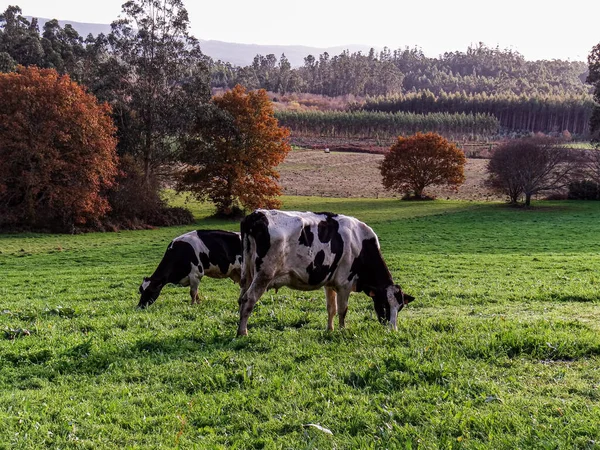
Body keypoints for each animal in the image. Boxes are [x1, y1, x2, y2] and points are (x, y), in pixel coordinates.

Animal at [237, 210, 414, 334]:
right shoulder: (344, 284)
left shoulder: (330, 283)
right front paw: (342, 330)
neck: (361, 243)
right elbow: (343, 310)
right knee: (248, 299)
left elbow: (331, 308)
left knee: (241, 299)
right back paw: (242, 332)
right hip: (264, 275)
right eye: (384, 304)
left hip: (247, 275)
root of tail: (256, 214)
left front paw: (330, 329)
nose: (393, 330)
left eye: (400, 308)